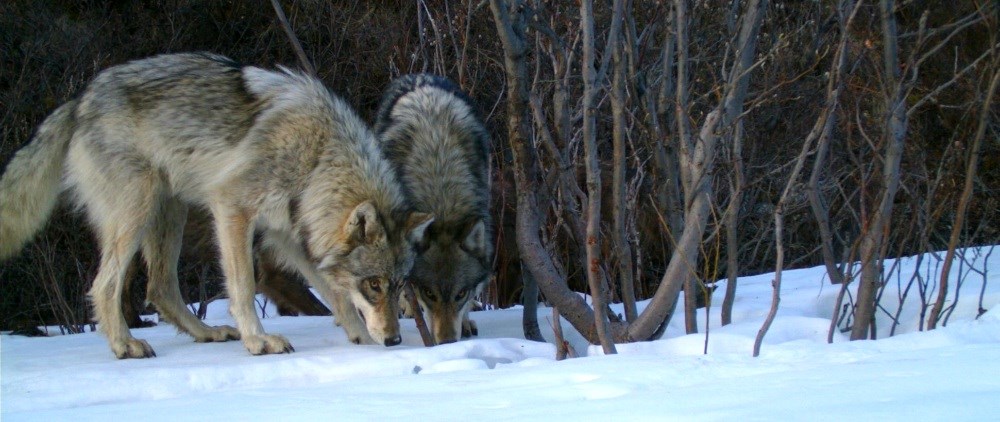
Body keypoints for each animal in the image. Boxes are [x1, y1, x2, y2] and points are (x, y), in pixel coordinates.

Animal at [0, 51, 430, 358]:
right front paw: (259, 342)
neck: (318, 158)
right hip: (140, 207)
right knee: (105, 285)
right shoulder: (233, 210)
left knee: (160, 287)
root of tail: (80, 100)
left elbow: (334, 294)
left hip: (170, 213)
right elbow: (242, 286)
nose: (394, 341)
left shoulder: (288, 234)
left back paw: (206, 333)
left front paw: (362, 340)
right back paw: (125, 345)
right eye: (373, 285)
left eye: (398, 286)